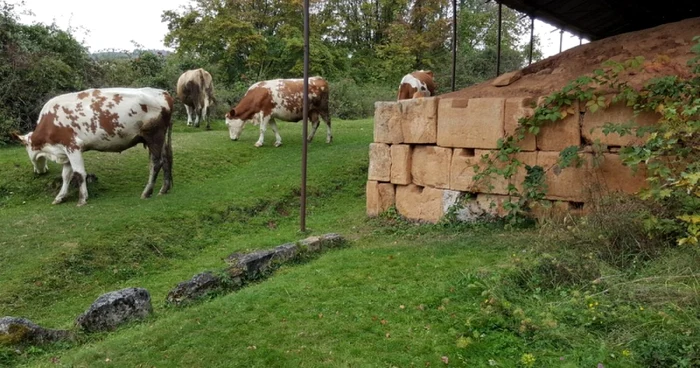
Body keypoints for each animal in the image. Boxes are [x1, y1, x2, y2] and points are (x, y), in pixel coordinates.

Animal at [14, 87, 174, 206]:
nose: (38, 172)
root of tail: (163, 93)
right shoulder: (65, 151)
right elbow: (66, 175)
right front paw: (60, 197)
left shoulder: (73, 147)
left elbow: (79, 174)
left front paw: (82, 199)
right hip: (159, 138)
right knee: (166, 160)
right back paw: (163, 189)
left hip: (153, 136)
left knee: (156, 163)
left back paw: (147, 192)